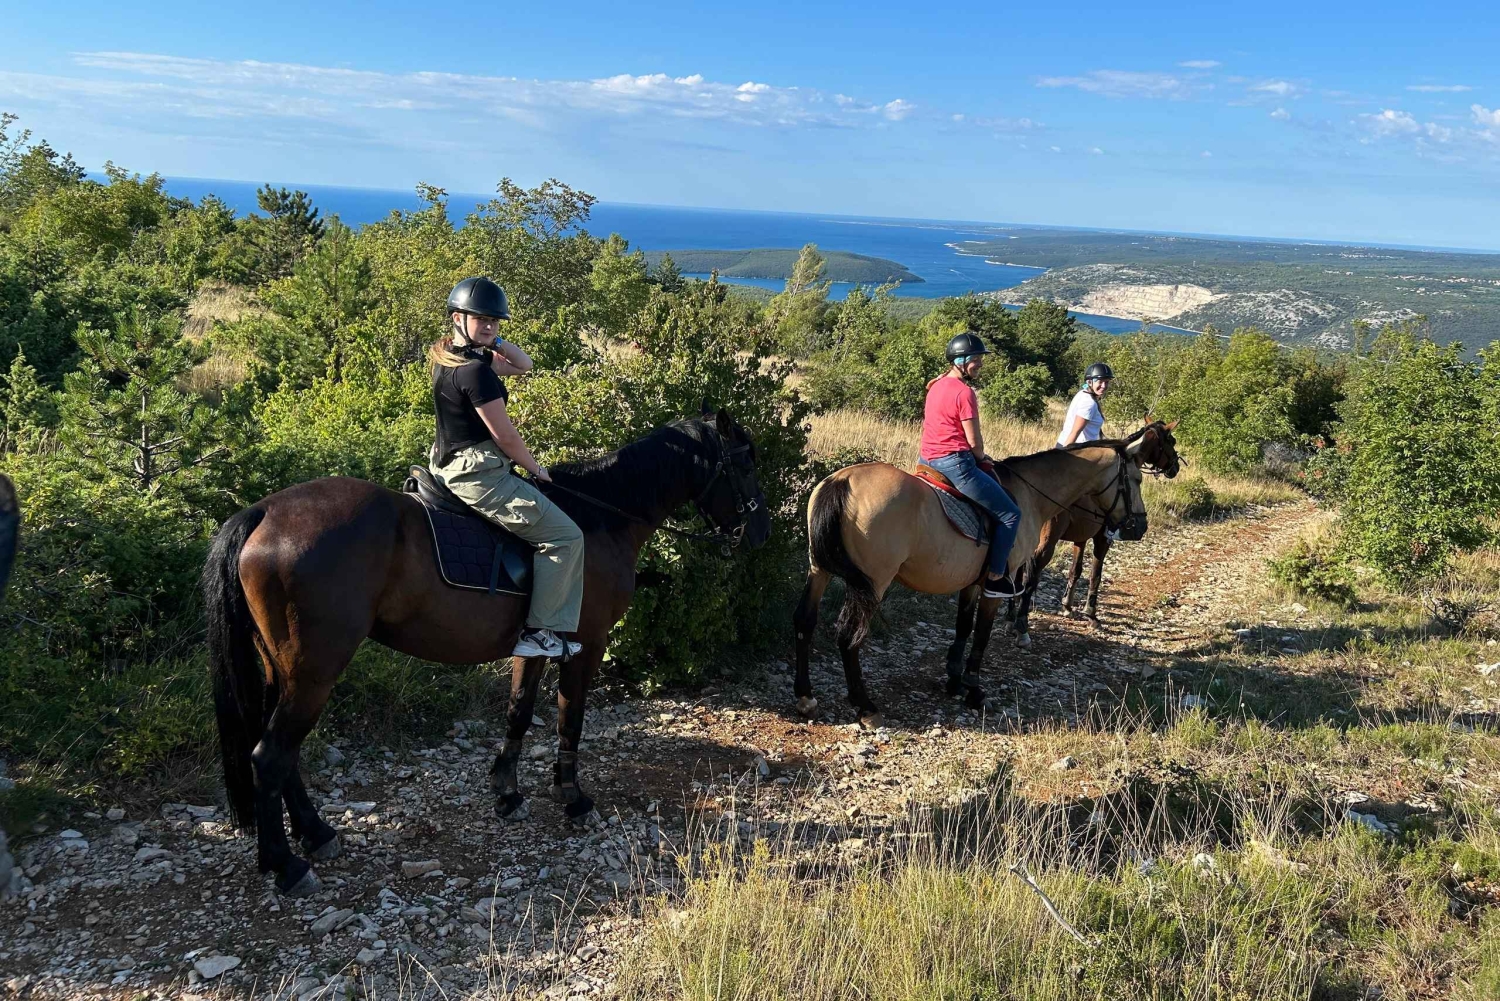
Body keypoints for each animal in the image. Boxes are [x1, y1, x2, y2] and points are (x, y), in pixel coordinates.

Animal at [203, 412, 771, 896]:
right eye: (744, 463)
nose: (759, 533)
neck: (597, 516)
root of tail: (263, 511)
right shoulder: (586, 644)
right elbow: (570, 719)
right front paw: (572, 798)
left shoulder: (535, 644)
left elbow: (519, 713)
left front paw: (507, 792)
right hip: (314, 674)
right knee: (270, 755)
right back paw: (285, 864)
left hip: (286, 672)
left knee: (282, 754)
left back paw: (316, 833)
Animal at [792, 436, 1151, 727]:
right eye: (1135, 479)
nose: (1139, 527)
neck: (1028, 495)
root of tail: (843, 480)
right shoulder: (997, 584)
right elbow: (981, 635)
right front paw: (974, 690)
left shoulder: (971, 582)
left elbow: (963, 626)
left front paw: (953, 680)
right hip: (873, 582)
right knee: (849, 637)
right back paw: (866, 707)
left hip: (819, 570)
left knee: (804, 622)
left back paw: (805, 697)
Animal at [1008, 421, 1181, 645]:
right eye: (1171, 441)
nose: (1175, 467)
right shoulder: (1102, 539)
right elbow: (1095, 574)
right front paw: (1091, 614)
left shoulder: (1080, 539)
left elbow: (1075, 570)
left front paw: (1067, 606)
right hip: (1046, 544)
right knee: (1030, 578)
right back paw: (1021, 625)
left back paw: (1010, 618)